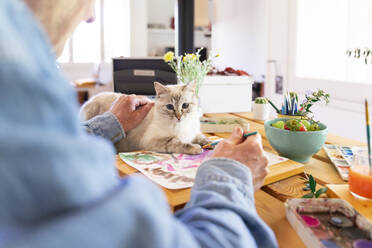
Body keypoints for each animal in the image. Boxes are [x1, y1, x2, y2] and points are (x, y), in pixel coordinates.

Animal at [79, 82, 209, 155]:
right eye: (170, 107)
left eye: (185, 105)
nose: (178, 117)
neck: (182, 126)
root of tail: (88, 101)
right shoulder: (154, 141)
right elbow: (179, 143)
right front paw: (196, 148)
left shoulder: (193, 133)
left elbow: (201, 138)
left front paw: (208, 143)